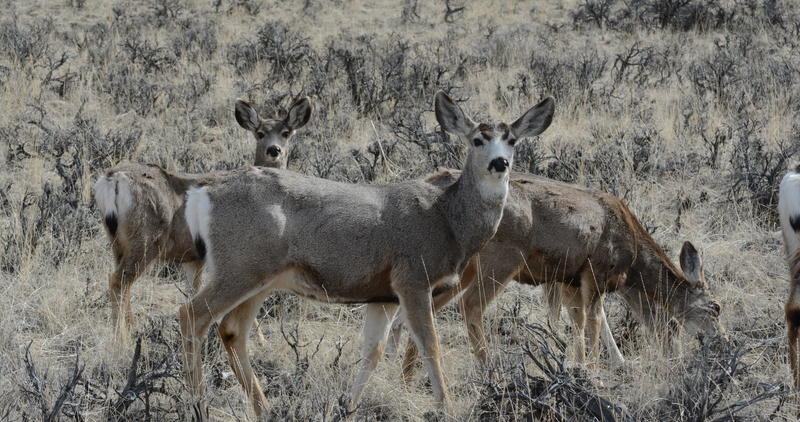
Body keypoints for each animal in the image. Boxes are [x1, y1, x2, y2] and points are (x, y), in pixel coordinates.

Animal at [90, 97, 310, 342]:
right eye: (260, 133)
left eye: (286, 132)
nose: (274, 150)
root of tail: (112, 179)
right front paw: (259, 339)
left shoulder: (193, 258)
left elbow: (192, 292)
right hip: (145, 239)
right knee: (118, 281)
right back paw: (122, 338)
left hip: (117, 242)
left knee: (122, 283)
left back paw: (130, 330)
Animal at [180, 90, 556, 418]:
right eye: (477, 139)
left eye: (512, 140)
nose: (499, 163)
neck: (446, 220)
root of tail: (201, 192)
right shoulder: (412, 278)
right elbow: (430, 346)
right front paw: (446, 409)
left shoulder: (382, 296)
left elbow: (372, 354)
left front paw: (347, 408)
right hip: (241, 265)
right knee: (191, 314)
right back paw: (199, 407)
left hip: (262, 277)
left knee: (231, 329)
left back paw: (265, 409)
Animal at [394, 171, 724, 380]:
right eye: (716, 307)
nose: (721, 342)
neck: (633, 261)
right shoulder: (597, 271)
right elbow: (594, 321)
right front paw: (595, 370)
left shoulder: (570, 279)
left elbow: (579, 320)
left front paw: (583, 365)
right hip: (500, 258)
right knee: (471, 305)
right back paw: (491, 374)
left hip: (460, 267)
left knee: (424, 308)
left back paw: (407, 376)